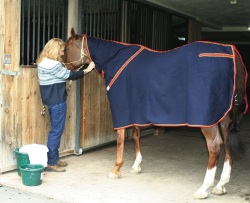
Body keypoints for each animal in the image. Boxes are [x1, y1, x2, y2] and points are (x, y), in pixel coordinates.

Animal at [63, 27, 248, 199]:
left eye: (65, 49)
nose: (64, 70)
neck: (116, 59)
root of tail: (231, 53)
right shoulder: (135, 111)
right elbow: (136, 136)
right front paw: (136, 166)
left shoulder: (121, 110)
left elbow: (121, 138)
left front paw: (116, 169)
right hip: (223, 117)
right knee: (227, 145)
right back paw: (220, 185)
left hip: (207, 120)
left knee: (215, 146)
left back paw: (203, 189)